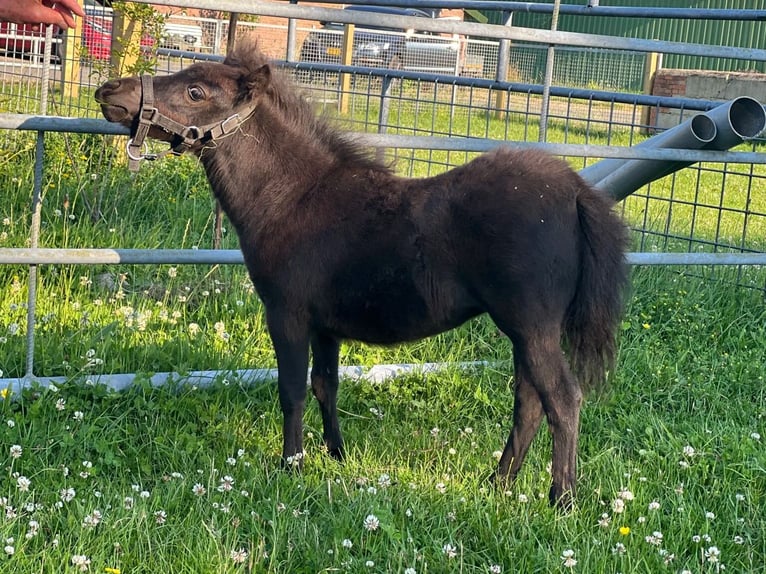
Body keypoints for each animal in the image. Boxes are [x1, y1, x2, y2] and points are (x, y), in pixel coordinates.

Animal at [95, 38, 628, 508]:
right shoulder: (326, 326)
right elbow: (324, 385)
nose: (109, 91)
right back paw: (497, 483)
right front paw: (336, 455)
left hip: (531, 325)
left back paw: (562, 499)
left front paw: (292, 465)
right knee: (530, 402)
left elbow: (292, 389)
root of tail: (576, 190)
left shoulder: (286, 314)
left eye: (195, 92)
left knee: (562, 399)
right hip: (524, 330)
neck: (291, 195)